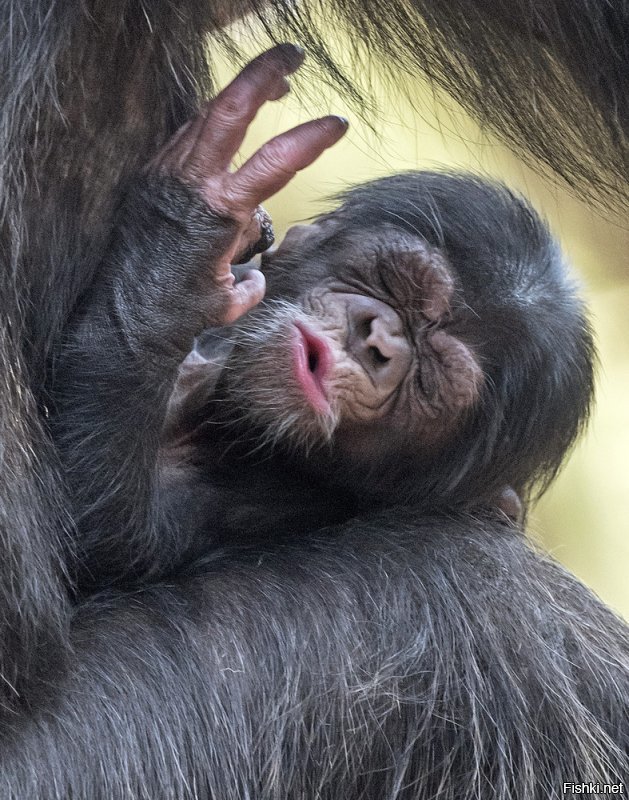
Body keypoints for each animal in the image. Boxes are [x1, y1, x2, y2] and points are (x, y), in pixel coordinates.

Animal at [0, 0, 624, 796]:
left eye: (429, 377)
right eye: (391, 284)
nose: (378, 337)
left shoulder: (266, 499)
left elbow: (106, 523)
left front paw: (178, 262)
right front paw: (206, 227)